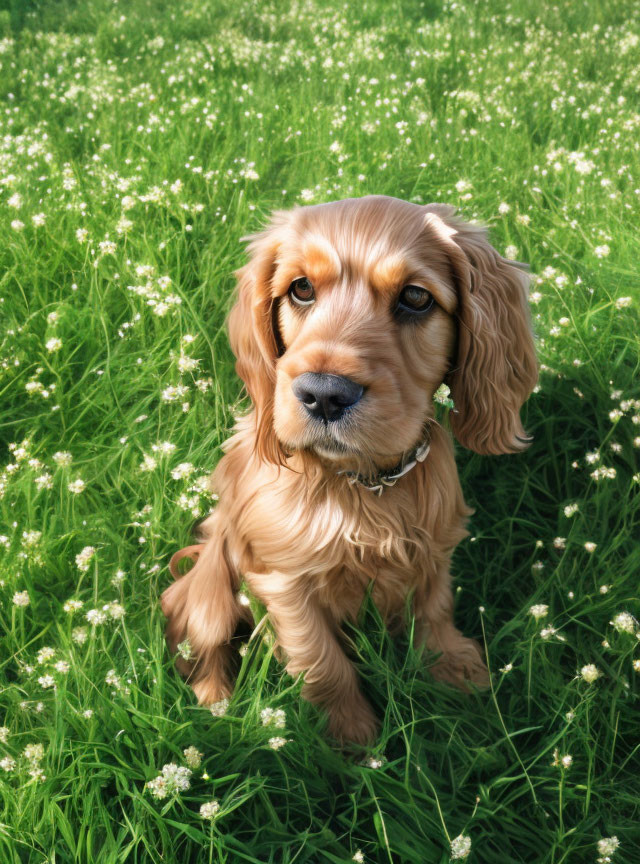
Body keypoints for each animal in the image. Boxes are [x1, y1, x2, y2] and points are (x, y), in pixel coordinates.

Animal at [162, 194, 536, 744]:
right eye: (301, 289)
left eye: (416, 297)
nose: (323, 394)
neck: (362, 484)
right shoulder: (284, 581)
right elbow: (321, 660)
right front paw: (351, 736)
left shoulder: (433, 540)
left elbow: (435, 604)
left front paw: (453, 668)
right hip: (210, 592)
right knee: (204, 645)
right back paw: (217, 710)